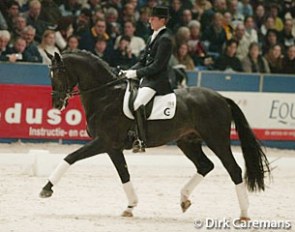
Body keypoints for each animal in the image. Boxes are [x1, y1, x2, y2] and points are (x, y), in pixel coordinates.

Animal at [40, 50, 272, 219]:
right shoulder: (112, 147)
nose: (57, 104)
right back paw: (184, 199)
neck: (105, 95)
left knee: (234, 169)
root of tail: (222, 98)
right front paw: (130, 207)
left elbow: (70, 157)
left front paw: (46, 189)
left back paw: (243, 214)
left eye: (58, 73)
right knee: (205, 165)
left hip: (217, 140)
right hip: (187, 141)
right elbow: (124, 174)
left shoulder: (104, 142)